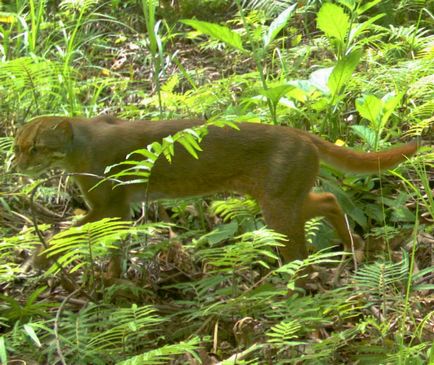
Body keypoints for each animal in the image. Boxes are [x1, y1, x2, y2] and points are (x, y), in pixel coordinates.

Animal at [15, 115, 418, 266]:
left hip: (278, 203)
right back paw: (353, 245)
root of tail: (299, 132)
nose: (16, 164)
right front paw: (115, 279)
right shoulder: (119, 208)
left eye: (35, 147)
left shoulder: (109, 203)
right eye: (18, 146)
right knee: (330, 199)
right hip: (283, 196)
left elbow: (73, 230)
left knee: (299, 248)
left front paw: (37, 259)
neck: (81, 146)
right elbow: (112, 242)